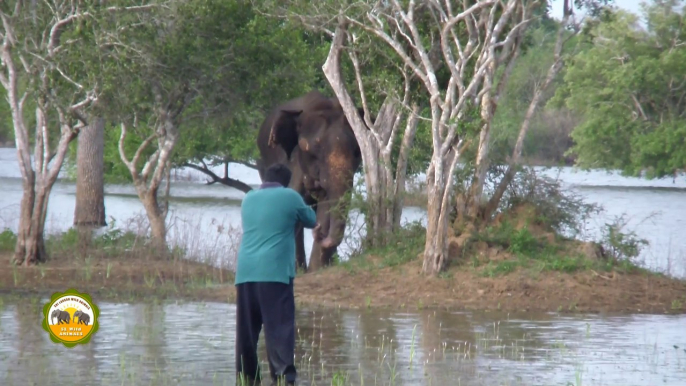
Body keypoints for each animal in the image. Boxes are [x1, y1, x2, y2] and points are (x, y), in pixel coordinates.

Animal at [256, 90, 370, 272]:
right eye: (314, 151)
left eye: (356, 152)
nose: (319, 232)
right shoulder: (294, 164)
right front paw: (298, 270)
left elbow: (325, 207)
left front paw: (316, 268)